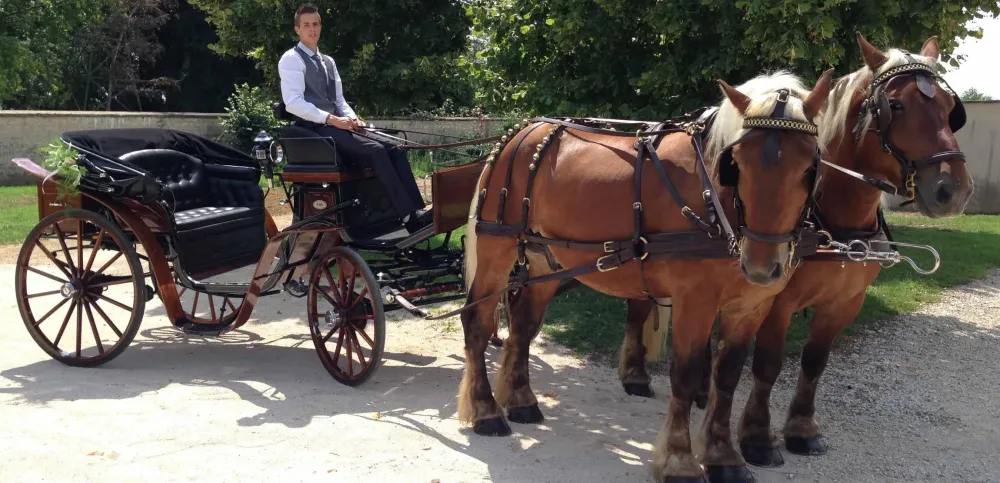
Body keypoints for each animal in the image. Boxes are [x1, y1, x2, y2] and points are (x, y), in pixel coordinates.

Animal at [458, 69, 834, 483]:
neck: (717, 205)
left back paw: (521, 401)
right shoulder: (694, 300)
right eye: (736, 164)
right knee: (477, 322)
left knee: (523, 325)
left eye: (809, 168)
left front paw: (724, 457)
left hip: (547, 260)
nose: (760, 266)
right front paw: (679, 460)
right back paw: (486, 411)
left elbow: (728, 376)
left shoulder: (752, 305)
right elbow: (685, 374)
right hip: (497, 248)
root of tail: (521, 132)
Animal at [610, 33, 973, 473]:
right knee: (638, 304)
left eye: (949, 107)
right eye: (896, 105)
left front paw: (801, 428)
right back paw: (636, 375)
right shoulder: (777, 300)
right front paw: (757, 437)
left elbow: (814, 361)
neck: (832, 219)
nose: (952, 190)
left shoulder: (845, 302)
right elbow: (768, 364)